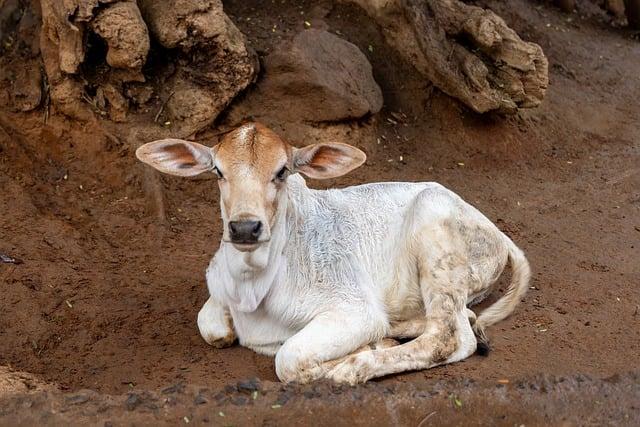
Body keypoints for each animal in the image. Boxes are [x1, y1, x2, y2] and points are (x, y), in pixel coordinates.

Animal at [136, 122, 528, 386]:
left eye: (282, 172)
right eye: (218, 170)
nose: (245, 228)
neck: (253, 286)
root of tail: (495, 232)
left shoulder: (354, 309)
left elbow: (289, 360)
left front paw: (357, 356)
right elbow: (212, 327)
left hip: (435, 234)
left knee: (449, 336)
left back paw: (357, 366)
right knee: (457, 320)